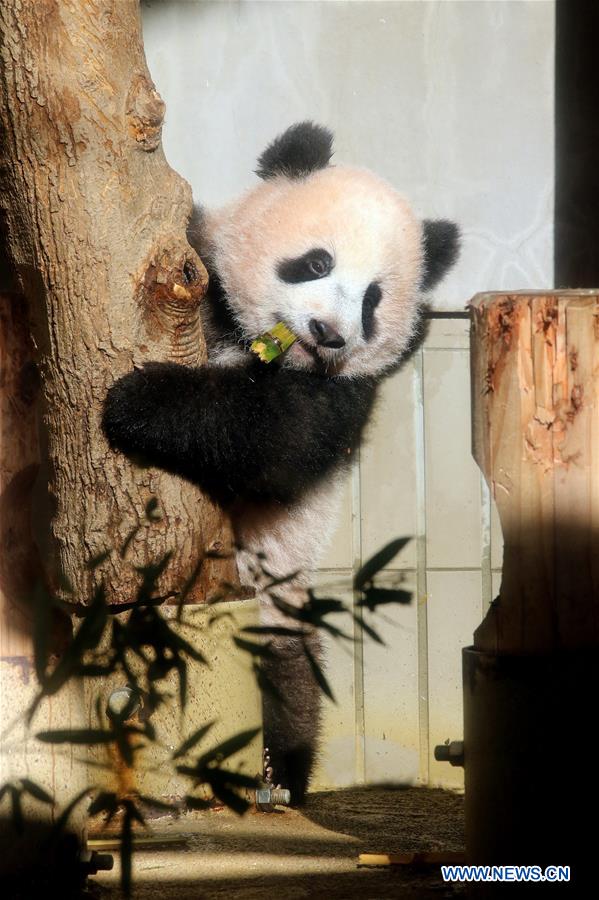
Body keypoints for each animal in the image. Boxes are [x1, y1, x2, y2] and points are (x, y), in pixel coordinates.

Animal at [102, 122, 459, 804]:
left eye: (374, 300)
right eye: (316, 262)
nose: (328, 332)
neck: (257, 343)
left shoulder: (346, 394)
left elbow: (278, 438)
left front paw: (140, 402)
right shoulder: (198, 266)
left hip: (272, 604)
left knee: (288, 684)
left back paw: (275, 774)